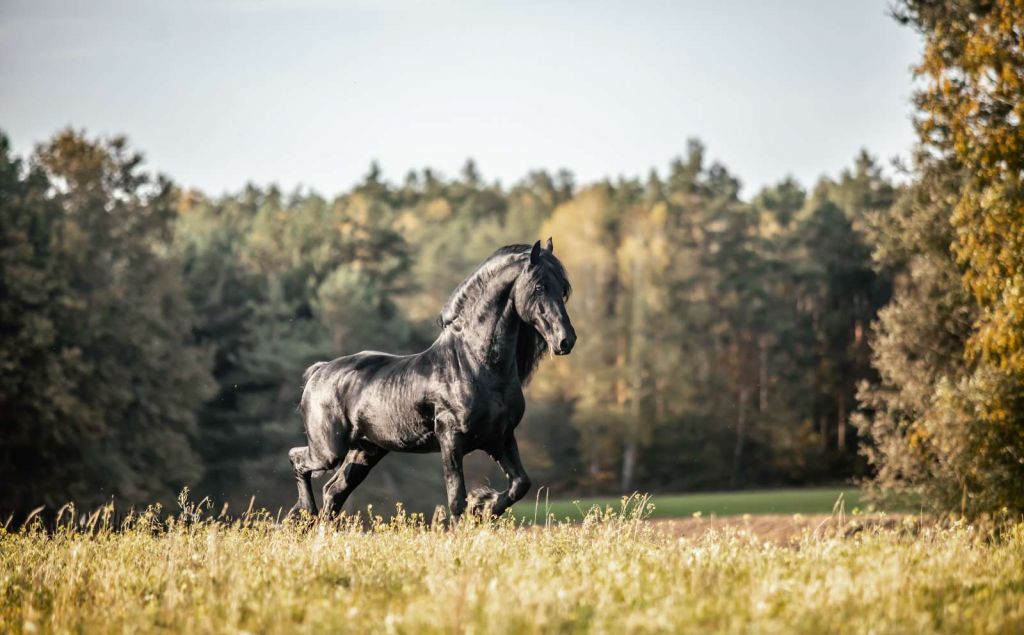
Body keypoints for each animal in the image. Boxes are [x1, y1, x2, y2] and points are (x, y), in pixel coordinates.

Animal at [287, 239, 576, 520]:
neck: (473, 363)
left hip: (365, 451)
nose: (566, 340)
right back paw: (304, 513)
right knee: (298, 461)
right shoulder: (451, 439)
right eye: (539, 286)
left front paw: (482, 506)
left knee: (334, 491)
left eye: (563, 289)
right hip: (329, 450)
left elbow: (519, 484)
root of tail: (319, 372)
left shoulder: (500, 438)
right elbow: (456, 500)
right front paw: (475, 509)